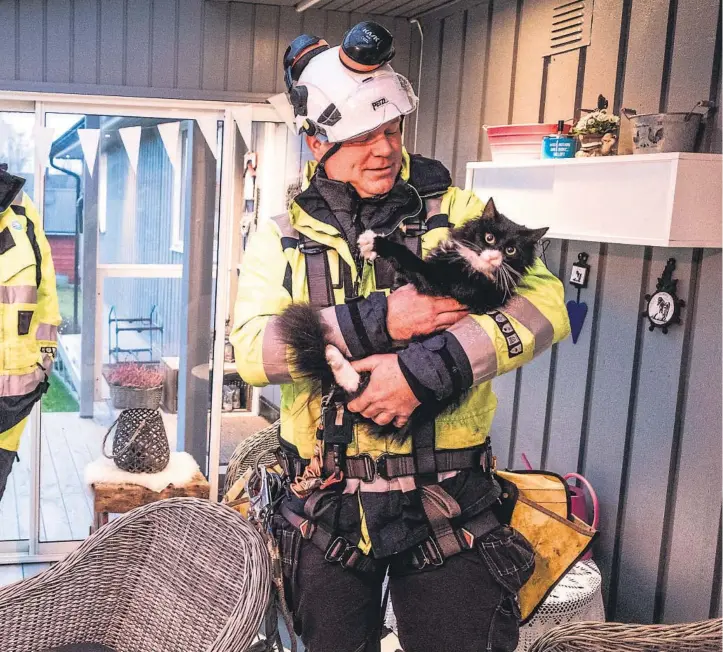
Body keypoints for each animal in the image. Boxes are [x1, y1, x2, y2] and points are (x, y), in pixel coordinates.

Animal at [278, 197, 548, 402]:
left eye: (511, 250)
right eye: (489, 238)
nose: (494, 256)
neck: (473, 267)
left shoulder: (442, 282)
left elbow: (408, 257)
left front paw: (374, 242)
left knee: (357, 385)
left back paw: (338, 364)